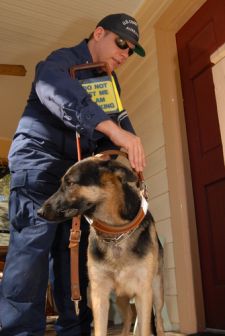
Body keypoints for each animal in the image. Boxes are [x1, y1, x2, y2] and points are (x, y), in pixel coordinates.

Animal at [37, 158, 164, 336]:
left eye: (70, 183)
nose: (39, 212)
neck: (115, 234)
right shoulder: (99, 295)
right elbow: (100, 330)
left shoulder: (143, 292)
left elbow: (145, 328)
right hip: (120, 297)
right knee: (128, 318)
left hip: (156, 292)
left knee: (158, 320)